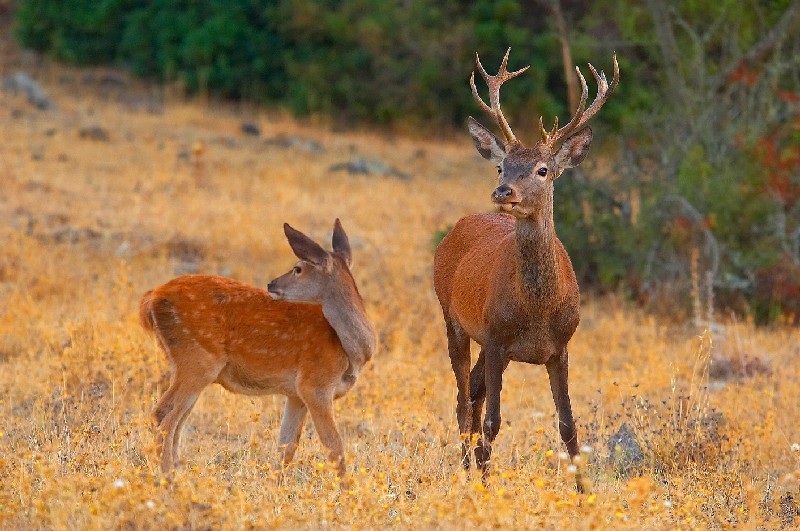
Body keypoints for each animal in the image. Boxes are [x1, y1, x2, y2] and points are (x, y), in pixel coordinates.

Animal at [139, 219, 376, 481]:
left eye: (297, 269)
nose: (271, 283)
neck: (349, 350)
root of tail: (151, 298)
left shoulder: (296, 394)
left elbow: (287, 446)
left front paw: (276, 485)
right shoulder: (315, 385)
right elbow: (335, 446)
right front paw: (348, 489)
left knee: (172, 417)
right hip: (198, 360)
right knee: (165, 417)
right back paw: (169, 477)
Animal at [433, 48, 618, 490]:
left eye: (542, 170)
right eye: (501, 167)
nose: (504, 192)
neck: (537, 310)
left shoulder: (561, 347)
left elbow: (568, 425)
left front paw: (584, 492)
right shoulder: (498, 338)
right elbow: (494, 421)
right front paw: (486, 484)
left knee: (473, 393)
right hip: (454, 319)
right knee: (464, 398)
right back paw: (466, 472)